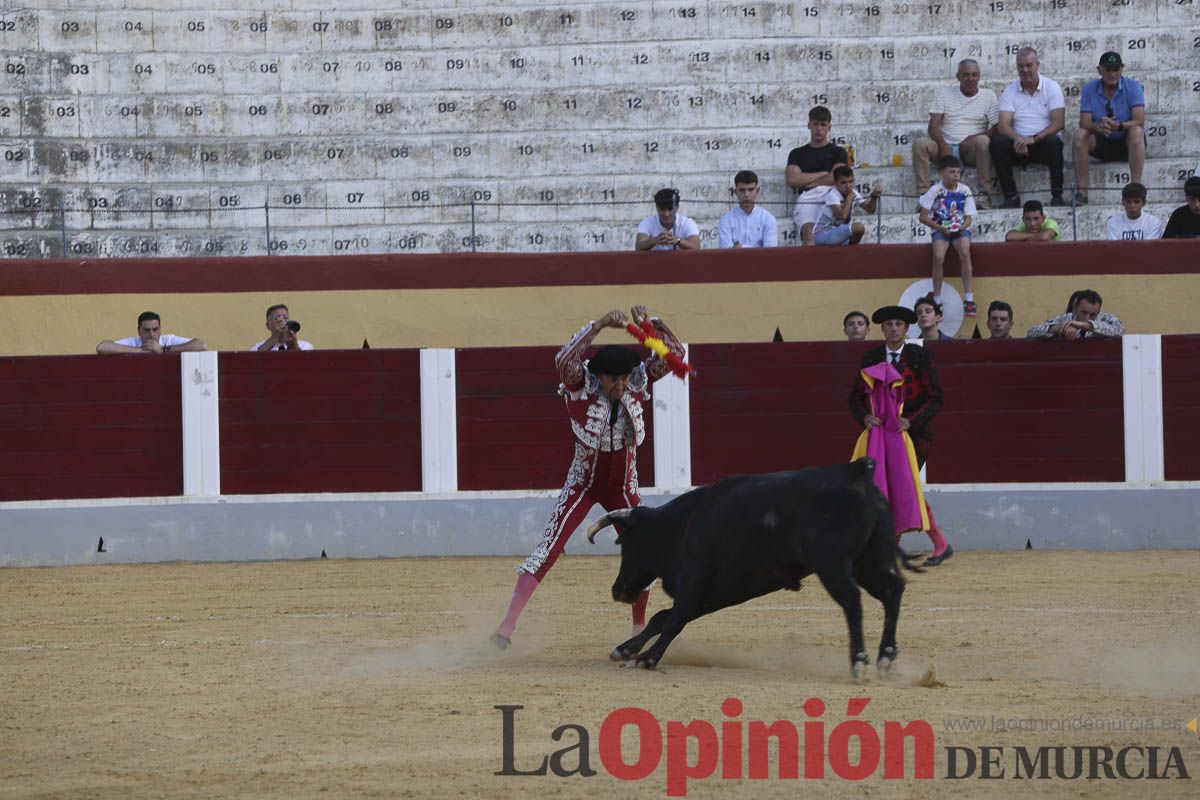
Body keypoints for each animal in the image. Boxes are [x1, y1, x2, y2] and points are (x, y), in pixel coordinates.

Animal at [585, 455, 921, 676]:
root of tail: (855, 473)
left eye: (625, 544)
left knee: (852, 600)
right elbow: (661, 617)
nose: (617, 591)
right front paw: (624, 649)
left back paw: (859, 661)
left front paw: (647, 658)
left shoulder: (694, 581)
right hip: (866, 563)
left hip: (833, 564)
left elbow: (673, 620)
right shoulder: (713, 595)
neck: (680, 525)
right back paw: (885, 659)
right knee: (893, 589)